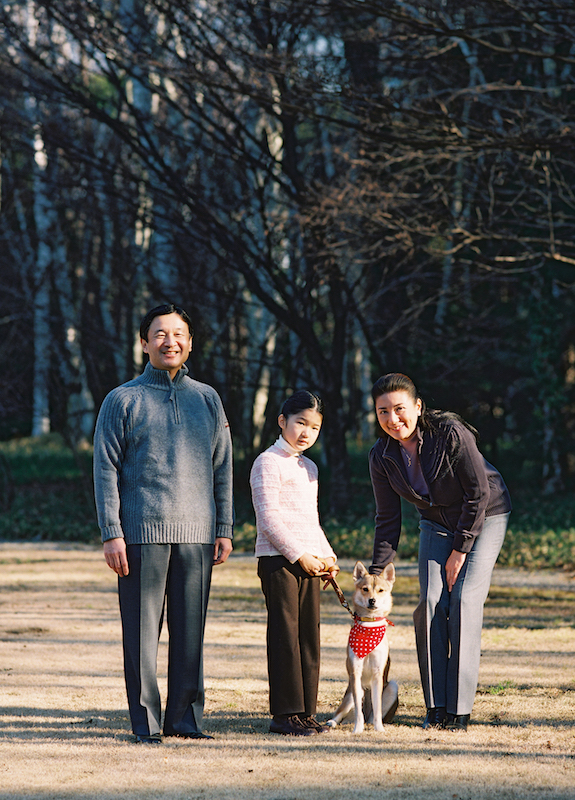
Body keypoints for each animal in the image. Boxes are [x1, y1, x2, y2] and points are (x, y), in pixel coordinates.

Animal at [326, 560, 398, 736]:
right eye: (365, 589)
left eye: (380, 590)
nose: (372, 600)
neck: (369, 626)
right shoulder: (355, 673)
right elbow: (359, 711)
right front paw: (358, 729)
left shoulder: (378, 674)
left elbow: (377, 708)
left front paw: (379, 729)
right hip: (351, 693)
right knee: (341, 712)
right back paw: (332, 722)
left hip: (392, 687)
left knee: (371, 715)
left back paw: (373, 724)